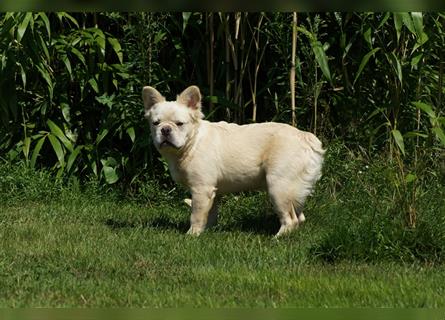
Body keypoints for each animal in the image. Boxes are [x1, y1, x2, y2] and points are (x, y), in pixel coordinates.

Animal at [144, 86, 324, 236]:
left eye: (180, 124)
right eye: (155, 123)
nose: (165, 129)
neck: (191, 143)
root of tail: (305, 137)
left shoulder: (201, 190)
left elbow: (196, 215)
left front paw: (192, 235)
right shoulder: (213, 192)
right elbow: (210, 214)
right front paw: (206, 231)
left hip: (278, 186)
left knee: (290, 218)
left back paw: (277, 238)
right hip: (294, 188)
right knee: (299, 217)